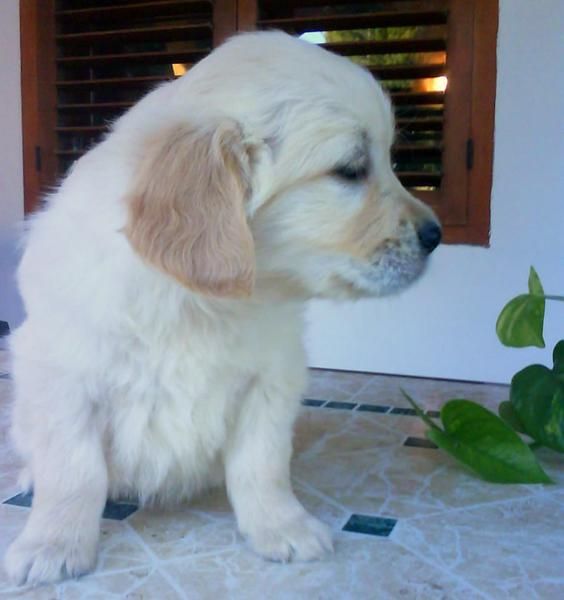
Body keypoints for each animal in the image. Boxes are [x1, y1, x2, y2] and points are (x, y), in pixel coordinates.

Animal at [4, 30, 440, 584]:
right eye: (350, 170)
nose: (437, 235)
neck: (198, 301)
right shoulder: (63, 378)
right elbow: (73, 471)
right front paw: (52, 544)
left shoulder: (272, 379)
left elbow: (262, 465)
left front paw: (282, 527)